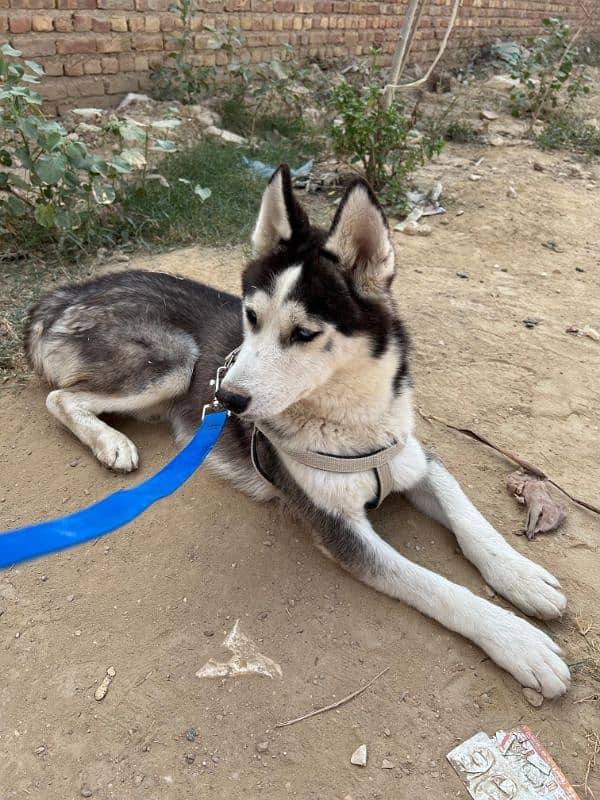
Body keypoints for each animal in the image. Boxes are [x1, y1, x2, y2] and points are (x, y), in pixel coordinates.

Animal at [25, 166, 568, 696]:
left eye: (304, 333)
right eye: (250, 316)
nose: (227, 400)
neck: (351, 423)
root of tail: (71, 292)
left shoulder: (417, 461)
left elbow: (471, 521)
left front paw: (521, 577)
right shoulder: (339, 529)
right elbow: (436, 586)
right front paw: (518, 641)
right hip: (176, 362)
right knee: (61, 397)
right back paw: (111, 443)